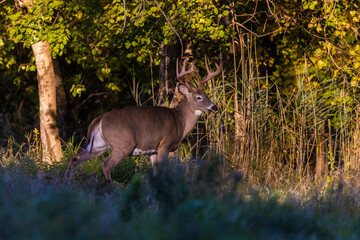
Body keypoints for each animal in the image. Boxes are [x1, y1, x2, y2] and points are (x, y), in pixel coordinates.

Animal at [64, 56, 222, 180]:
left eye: (207, 95)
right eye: (198, 97)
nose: (214, 107)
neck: (180, 121)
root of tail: (99, 119)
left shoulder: (152, 150)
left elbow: (156, 172)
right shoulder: (165, 144)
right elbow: (164, 171)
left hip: (98, 145)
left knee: (75, 157)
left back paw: (66, 182)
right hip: (123, 143)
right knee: (106, 164)